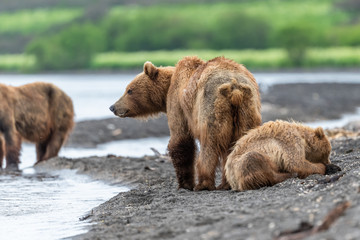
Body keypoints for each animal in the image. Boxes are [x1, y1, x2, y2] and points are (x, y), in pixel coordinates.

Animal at [109, 56, 262, 191]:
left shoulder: (178, 102)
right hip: (247, 108)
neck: (167, 89)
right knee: (242, 142)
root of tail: (234, 87)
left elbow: (180, 139)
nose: (112, 107)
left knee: (210, 144)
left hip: (211, 106)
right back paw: (226, 183)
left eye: (129, 90)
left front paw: (185, 184)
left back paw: (204, 184)